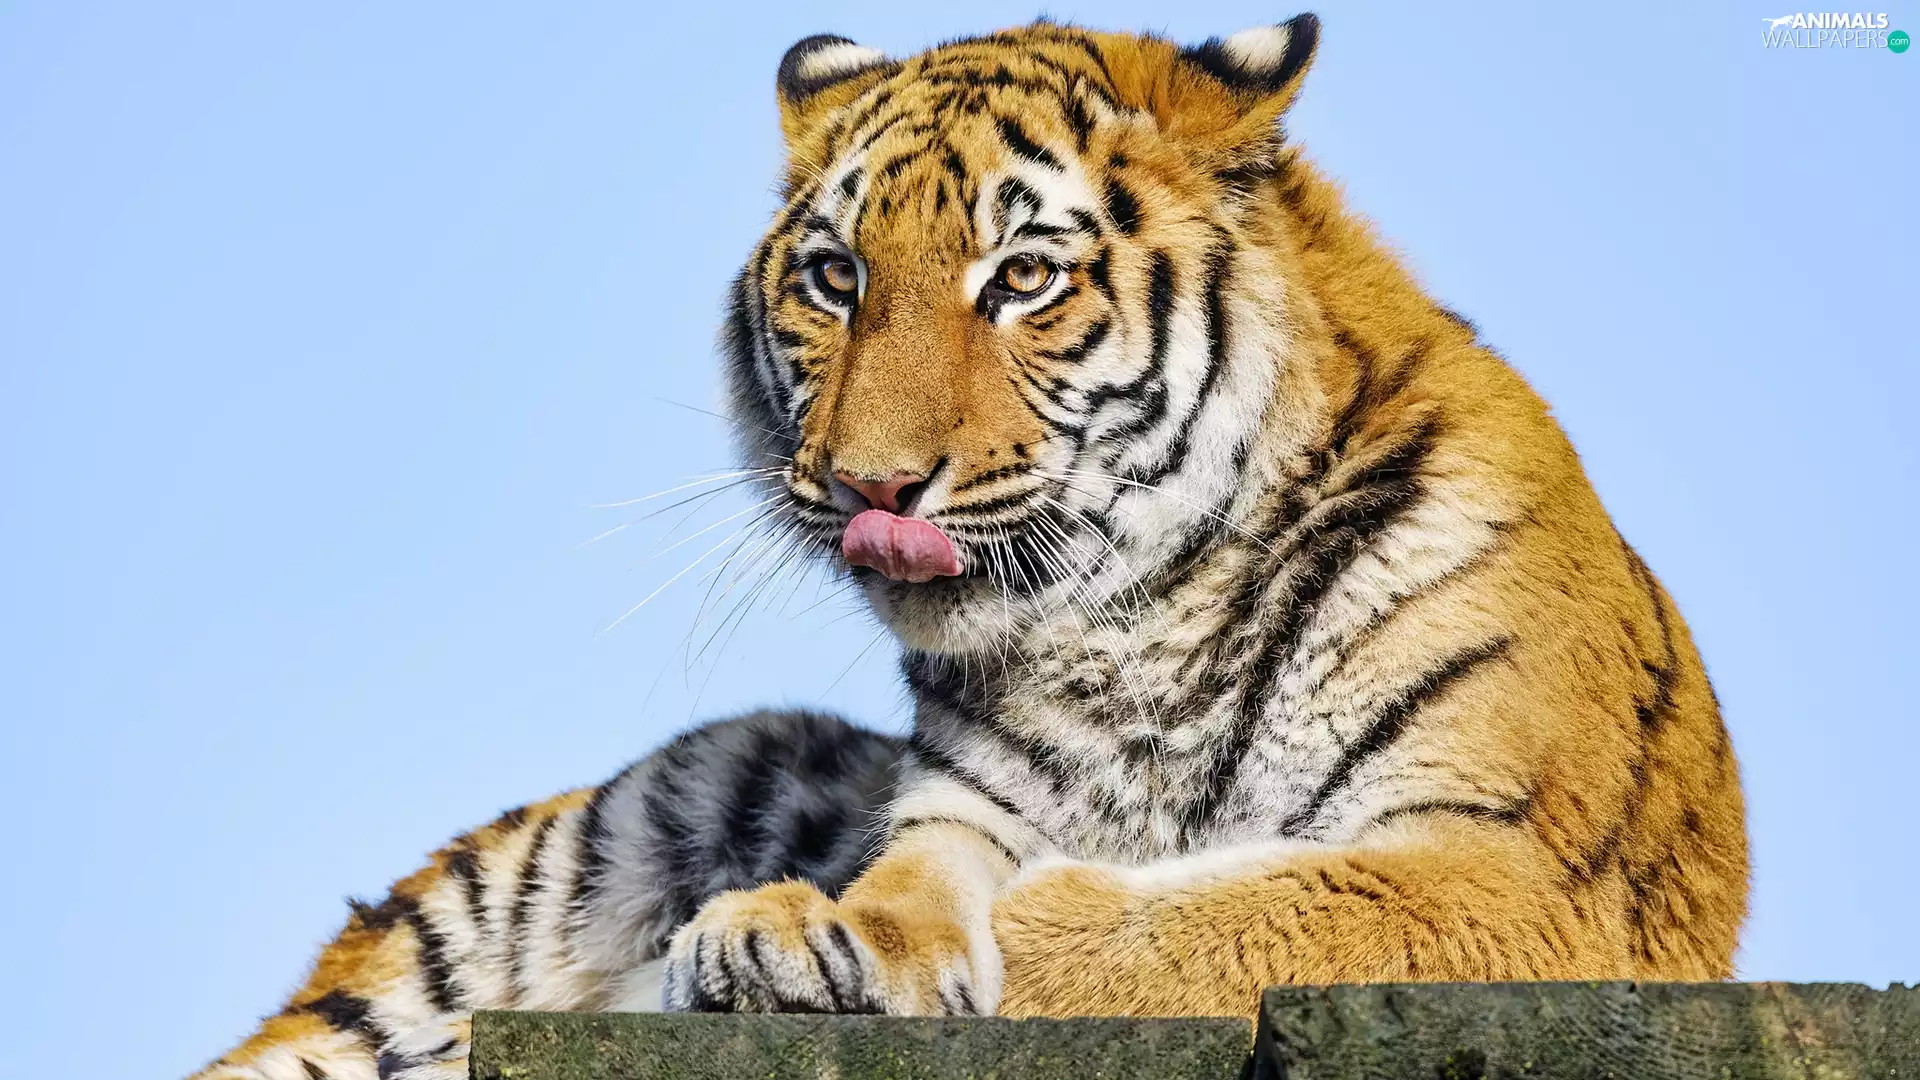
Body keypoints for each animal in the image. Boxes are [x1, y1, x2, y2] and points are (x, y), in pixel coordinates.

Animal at [192, 14, 1749, 1080]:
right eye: (836, 276)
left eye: (1025, 279)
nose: (870, 482)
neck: (1143, 621)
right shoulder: (962, 809)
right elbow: (914, 884)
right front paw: (802, 938)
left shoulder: (1509, 872)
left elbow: (1229, 911)